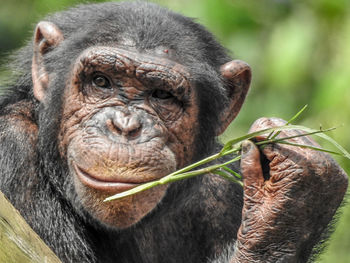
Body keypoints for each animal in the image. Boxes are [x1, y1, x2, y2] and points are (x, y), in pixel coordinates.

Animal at [0, 2, 346, 263]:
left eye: (162, 95)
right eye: (101, 81)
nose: (125, 126)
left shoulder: (222, 190)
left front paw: (294, 192)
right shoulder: (14, 152)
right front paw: (294, 200)